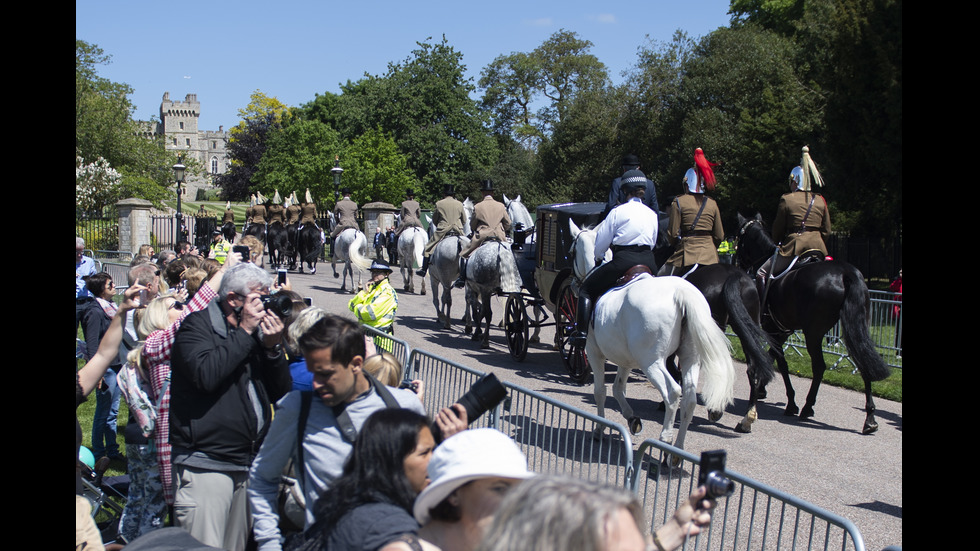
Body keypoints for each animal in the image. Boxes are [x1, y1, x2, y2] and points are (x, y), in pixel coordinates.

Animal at [576, 222, 736, 454]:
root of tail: (681, 292)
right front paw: (632, 419)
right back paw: (677, 452)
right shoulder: (626, 360)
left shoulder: (594, 352)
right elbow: (618, 388)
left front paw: (599, 429)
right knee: (688, 398)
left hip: (651, 362)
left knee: (672, 392)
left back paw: (666, 439)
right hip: (690, 358)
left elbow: (600, 391)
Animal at [736, 216, 888, 436]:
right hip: (855, 329)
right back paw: (870, 419)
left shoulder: (775, 330)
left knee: (819, 366)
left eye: (739, 238)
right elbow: (772, 358)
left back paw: (808, 407)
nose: (736, 261)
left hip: (813, 333)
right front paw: (763, 386)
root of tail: (846, 272)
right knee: (863, 362)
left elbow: (781, 363)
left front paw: (790, 402)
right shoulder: (781, 331)